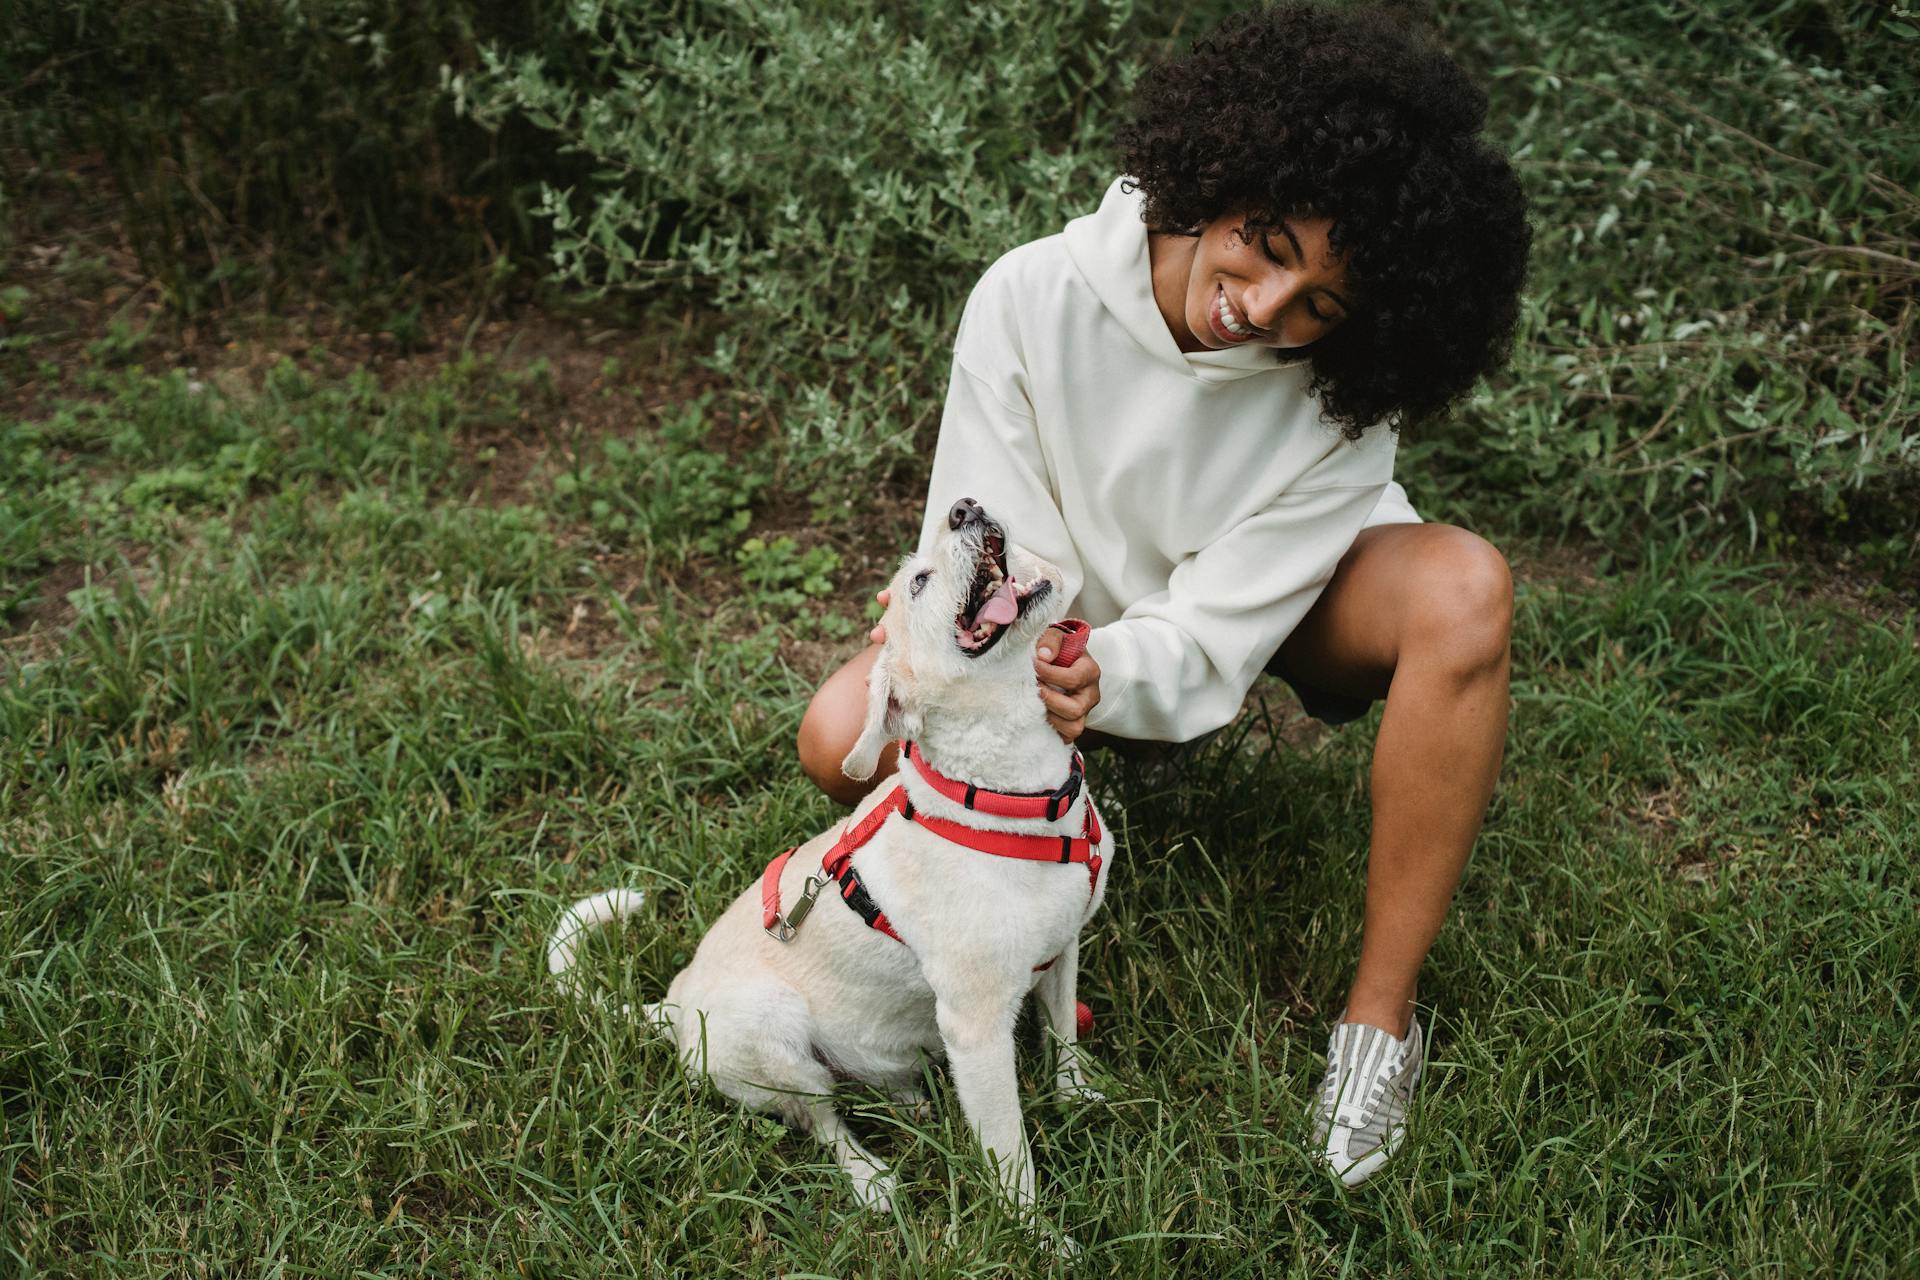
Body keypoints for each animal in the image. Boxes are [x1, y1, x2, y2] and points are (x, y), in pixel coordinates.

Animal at [545, 495, 1113, 1228]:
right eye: (918, 582)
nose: (965, 506)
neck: (1014, 796)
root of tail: (670, 1005)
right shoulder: (977, 1030)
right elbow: (1011, 1159)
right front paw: (1038, 1238)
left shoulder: (1064, 949)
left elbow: (1065, 1038)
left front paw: (1077, 1098)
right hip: (775, 1031)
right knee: (820, 1119)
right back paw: (871, 1179)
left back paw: (913, 1101)